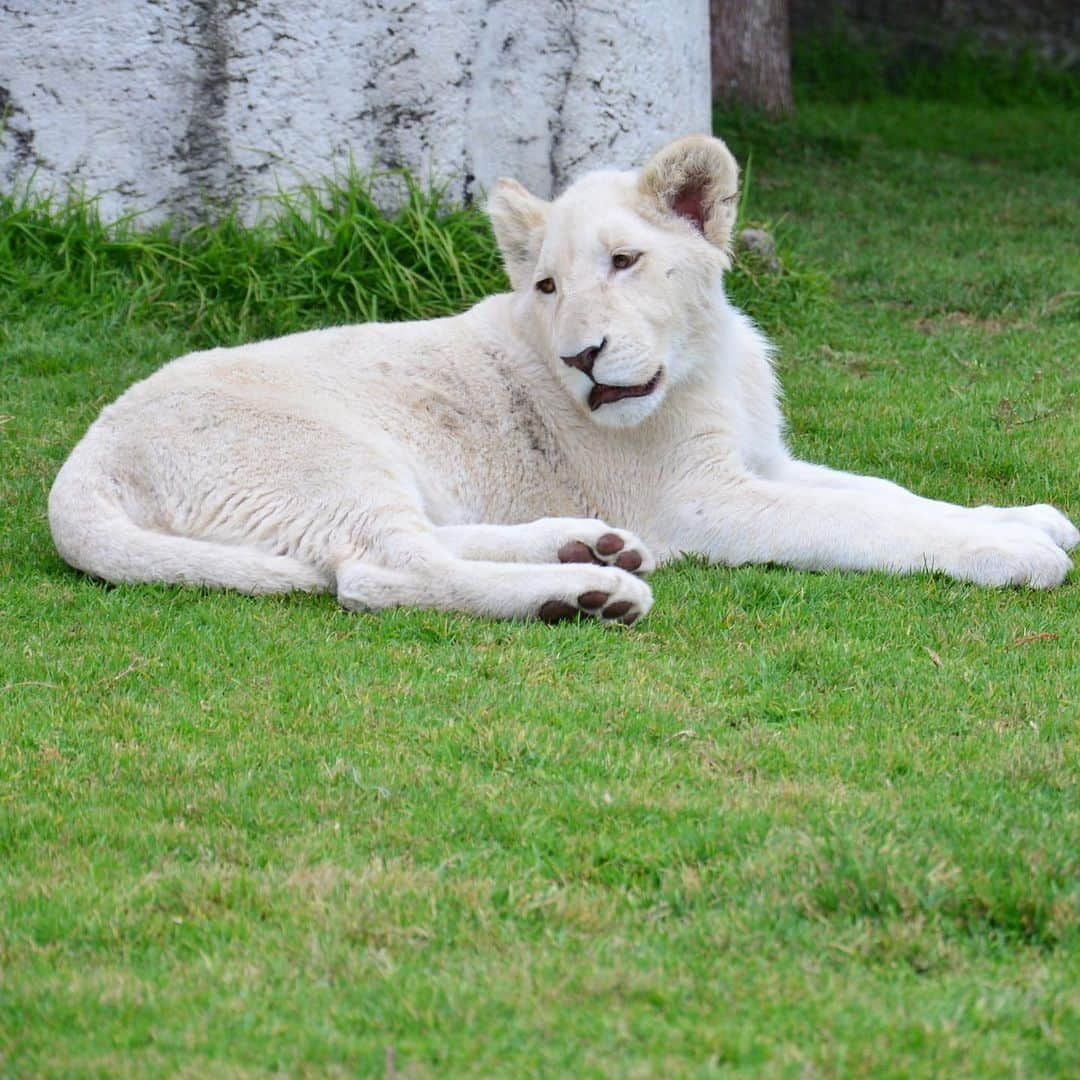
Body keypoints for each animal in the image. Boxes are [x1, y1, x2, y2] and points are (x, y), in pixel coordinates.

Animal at [46, 135, 1075, 626]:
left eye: (624, 262)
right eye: (546, 286)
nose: (583, 357)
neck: (703, 361)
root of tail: (83, 460)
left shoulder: (763, 463)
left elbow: (888, 492)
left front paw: (1027, 518)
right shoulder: (707, 500)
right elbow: (862, 521)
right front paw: (1013, 552)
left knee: (422, 542)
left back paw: (591, 547)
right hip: (326, 457)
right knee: (383, 569)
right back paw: (587, 594)